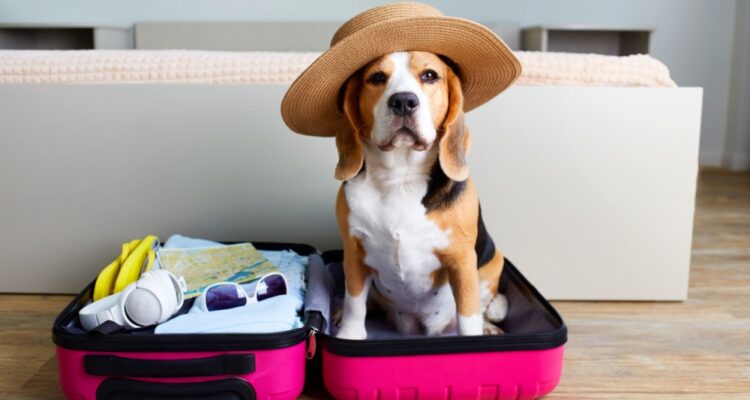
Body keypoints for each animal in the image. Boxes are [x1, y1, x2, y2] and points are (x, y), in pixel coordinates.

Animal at [336, 49, 508, 338]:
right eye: (377, 77)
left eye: (429, 75)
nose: (404, 101)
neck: (400, 178)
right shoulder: (354, 253)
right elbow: (354, 303)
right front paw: (349, 334)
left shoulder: (462, 260)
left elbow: (468, 314)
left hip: (494, 260)